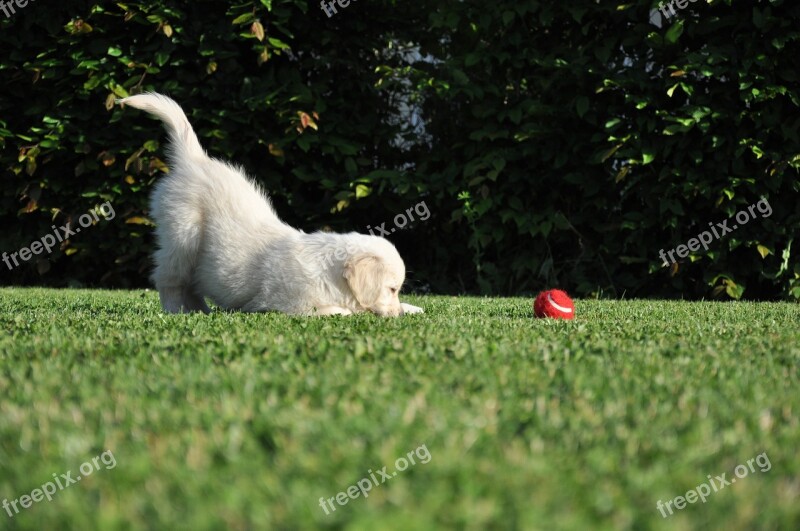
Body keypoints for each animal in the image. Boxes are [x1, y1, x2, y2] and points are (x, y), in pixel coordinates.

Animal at [117, 92, 424, 316]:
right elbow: (339, 311)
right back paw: (176, 310)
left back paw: (200, 311)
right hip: (182, 236)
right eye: (392, 288)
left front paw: (412, 308)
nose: (396, 314)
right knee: (168, 279)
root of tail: (194, 159)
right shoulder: (289, 303)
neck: (330, 274)